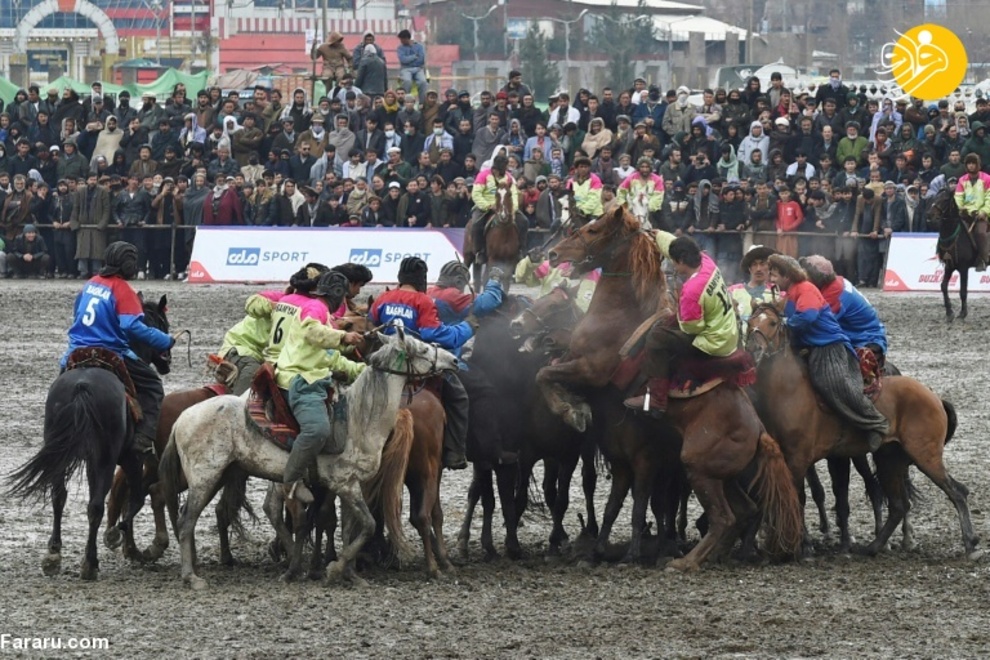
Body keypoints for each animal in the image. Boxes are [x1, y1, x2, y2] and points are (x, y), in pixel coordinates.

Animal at [6, 294, 172, 576]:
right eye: (163, 324)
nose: (167, 361)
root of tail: (82, 385)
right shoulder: (132, 458)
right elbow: (135, 499)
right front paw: (120, 539)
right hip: (104, 459)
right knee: (95, 505)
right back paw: (90, 563)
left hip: (61, 454)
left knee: (59, 496)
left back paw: (53, 555)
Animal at [161, 330, 460, 588]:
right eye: (423, 349)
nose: (454, 360)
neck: (359, 418)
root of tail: (181, 419)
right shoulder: (345, 485)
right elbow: (368, 525)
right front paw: (334, 569)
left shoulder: (351, 485)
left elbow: (352, 529)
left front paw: (350, 575)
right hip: (205, 478)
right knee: (186, 521)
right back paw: (191, 577)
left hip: (224, 474)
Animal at [536, 209, 808, 568]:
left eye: (593, 230)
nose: (554, 254)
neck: (619, 312)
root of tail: (760, 432)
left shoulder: (592, 370)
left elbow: (544, 374)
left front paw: (572, 410)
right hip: (725, 477)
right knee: (743, 512)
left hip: (698, 466)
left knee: (724, 518)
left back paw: (685, 562)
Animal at [748, 302, 980, 556]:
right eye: (749, 323)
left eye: (772, 323)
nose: (754, 349)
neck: (791, 390)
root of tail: (935, 397)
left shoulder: (799, 458)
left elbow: (798, 498)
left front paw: (805, 546)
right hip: (891, 460)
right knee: (899, 504)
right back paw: (874, 546)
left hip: (925, 456)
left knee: (956, 492)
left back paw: (969, 543)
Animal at [928, 186, 980, 322]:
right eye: (935, 197)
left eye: (946, 199)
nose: (930, 215)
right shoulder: (949, 265)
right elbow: (943, 286)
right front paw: (949, 312)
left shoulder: (963, 267)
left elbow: (963, 291)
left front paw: (963, 313)